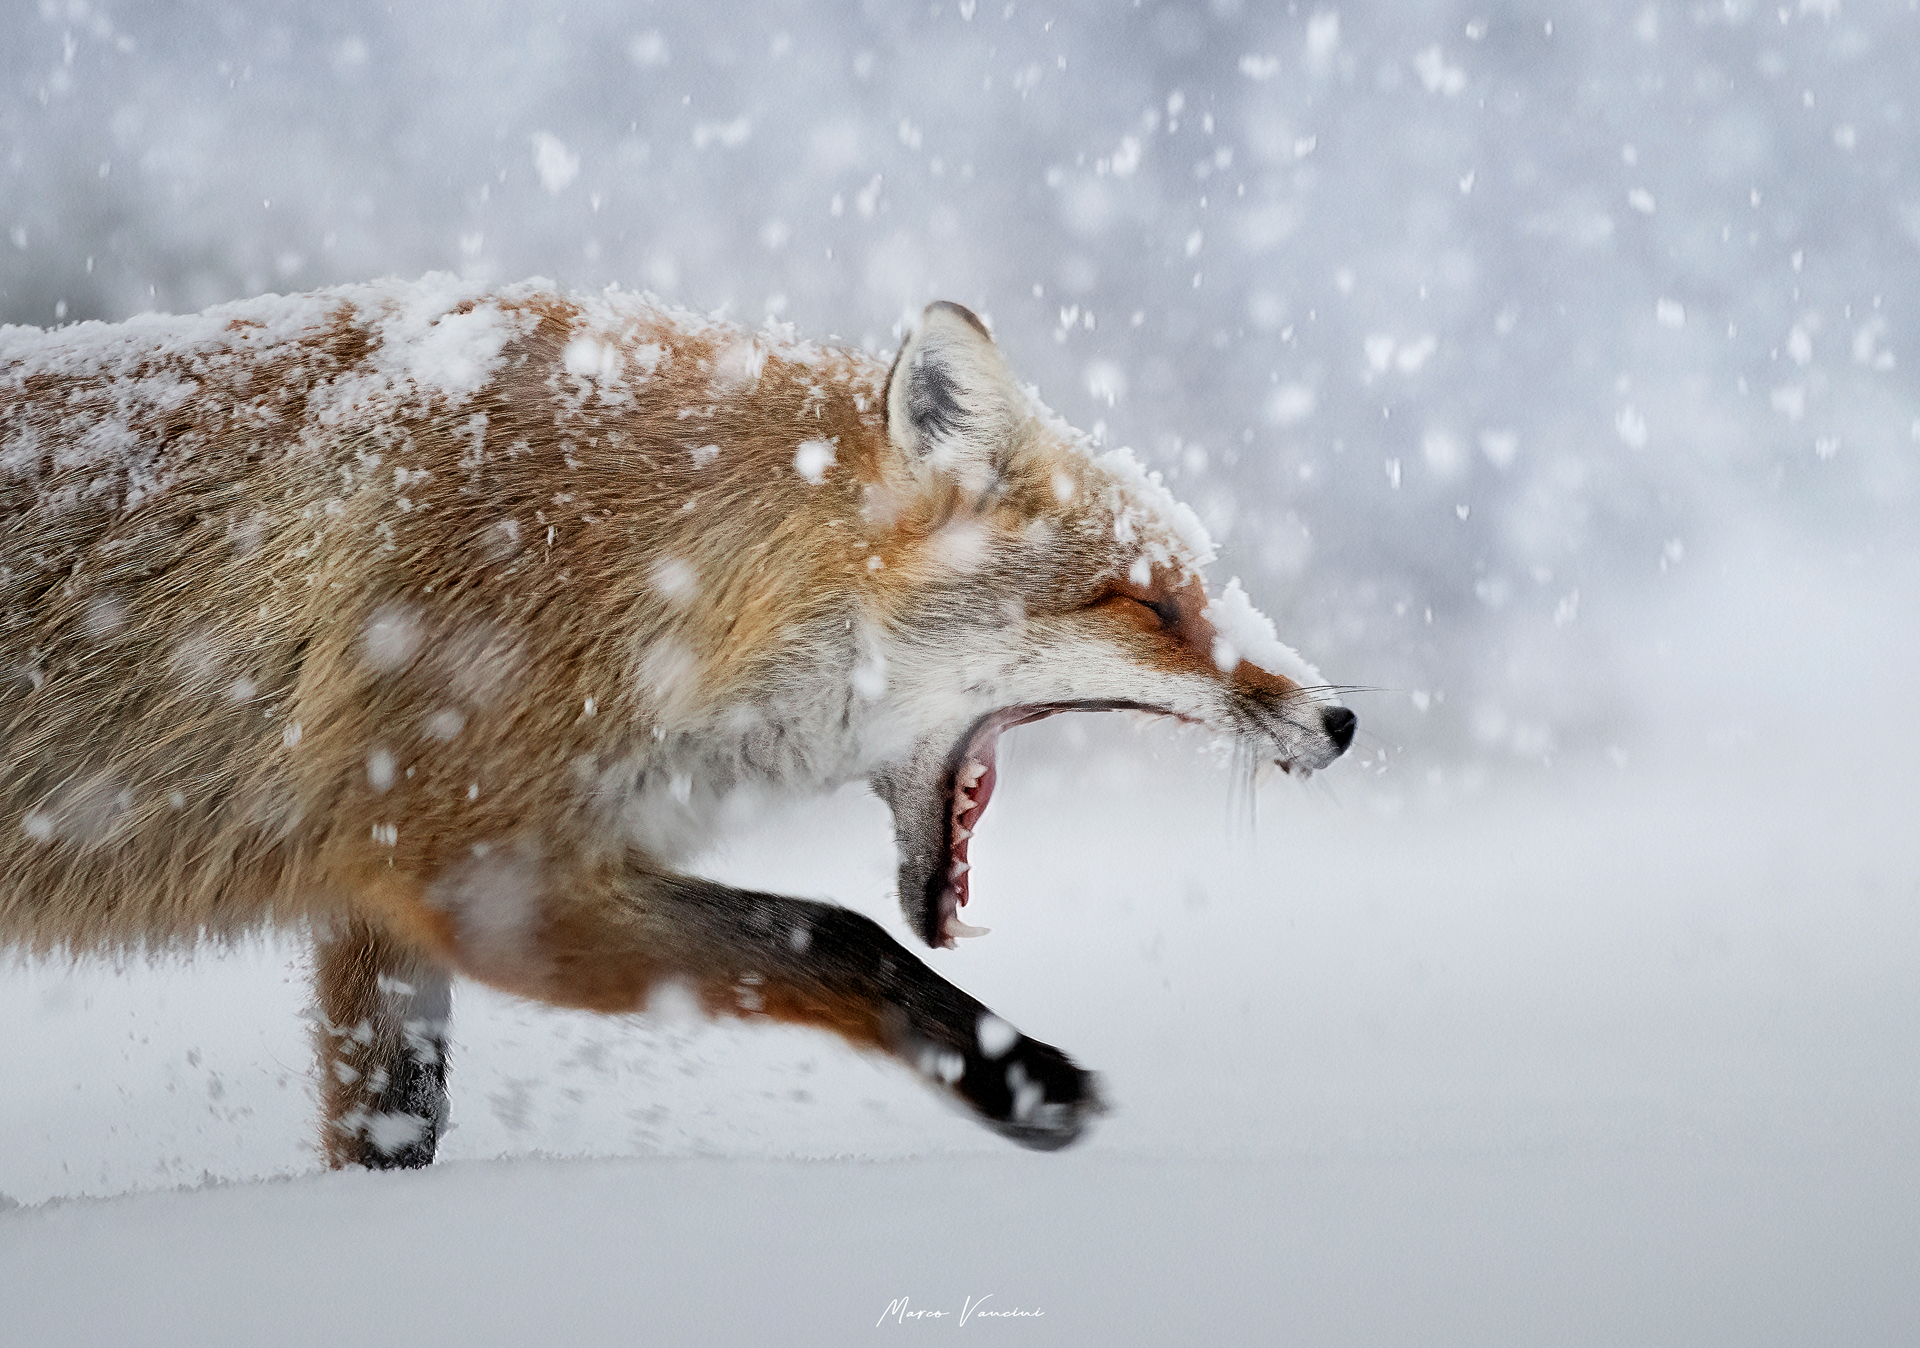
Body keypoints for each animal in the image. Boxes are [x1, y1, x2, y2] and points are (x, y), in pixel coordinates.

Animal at [0, 277, 1353, 1167]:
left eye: (1194, 586)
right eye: (1146, 602)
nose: (1338, 717)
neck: (643, 574)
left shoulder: (379, 897)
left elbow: (390, 1124)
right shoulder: (484, 880)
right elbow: (834, 935)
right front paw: (1010, 1077)